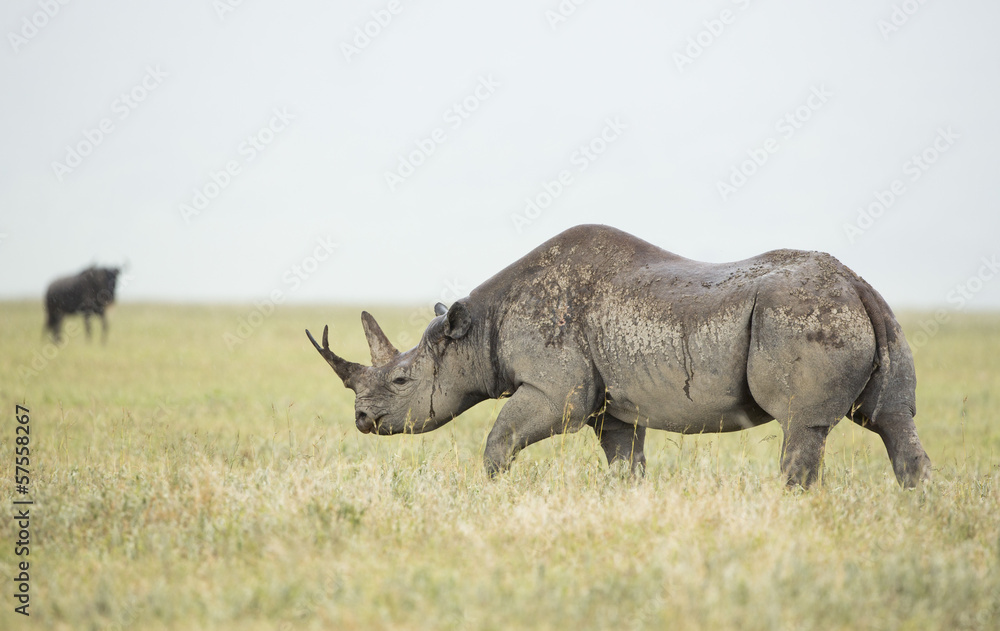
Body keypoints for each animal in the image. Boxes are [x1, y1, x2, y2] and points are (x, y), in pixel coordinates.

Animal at [307, 225, 930, 487]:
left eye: (402, 380)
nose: (361, 420)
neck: (474, 332)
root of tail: (858, 286)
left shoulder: (558, 389)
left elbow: (499, 439)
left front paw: (494, 493)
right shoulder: (612, 406)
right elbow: (625, 461)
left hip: (801, 316)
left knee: (802, 424)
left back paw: (790, 505)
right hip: (865, 316)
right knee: (893, 419)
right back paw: (915, 506)